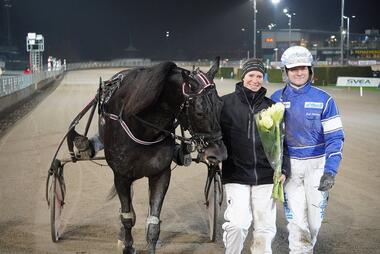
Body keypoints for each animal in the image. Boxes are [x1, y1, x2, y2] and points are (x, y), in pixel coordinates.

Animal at [97, 59, 226, 252]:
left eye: (220, 105)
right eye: (199, 111)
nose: (219, 154)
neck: (143, 129)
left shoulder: (161, 174)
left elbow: (153, 223)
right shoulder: (121, 176)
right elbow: (127, 217)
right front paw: (127, 244)